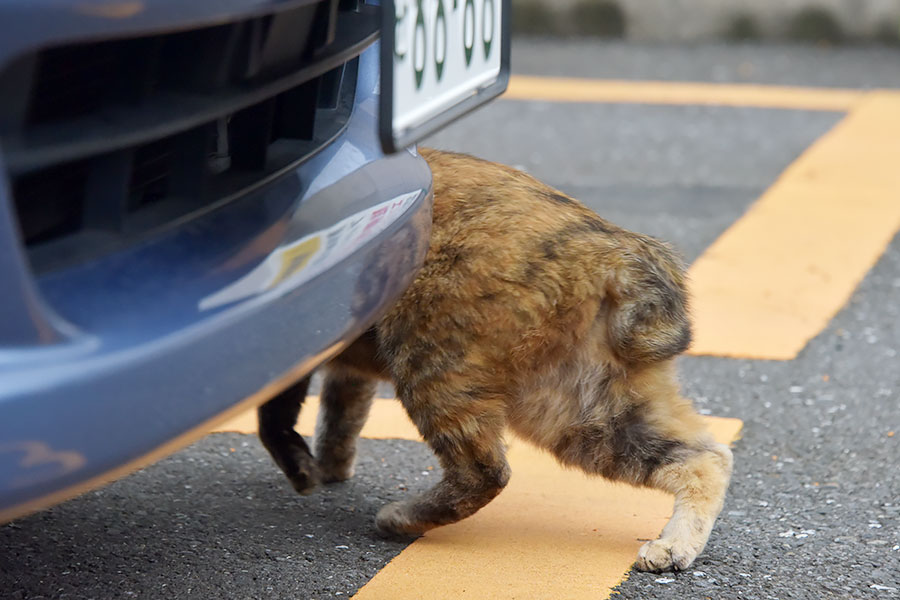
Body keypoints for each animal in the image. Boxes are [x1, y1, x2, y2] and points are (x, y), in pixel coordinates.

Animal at [255, 146, 732, 572]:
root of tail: (611, 247)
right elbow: (341, 411)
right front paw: (331, 465)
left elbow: (275, 413)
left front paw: (303, 467)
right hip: (582, 410)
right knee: (705, 457)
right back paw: (674, 547)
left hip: (430, 358)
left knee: (485, 472)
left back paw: (399, 518)